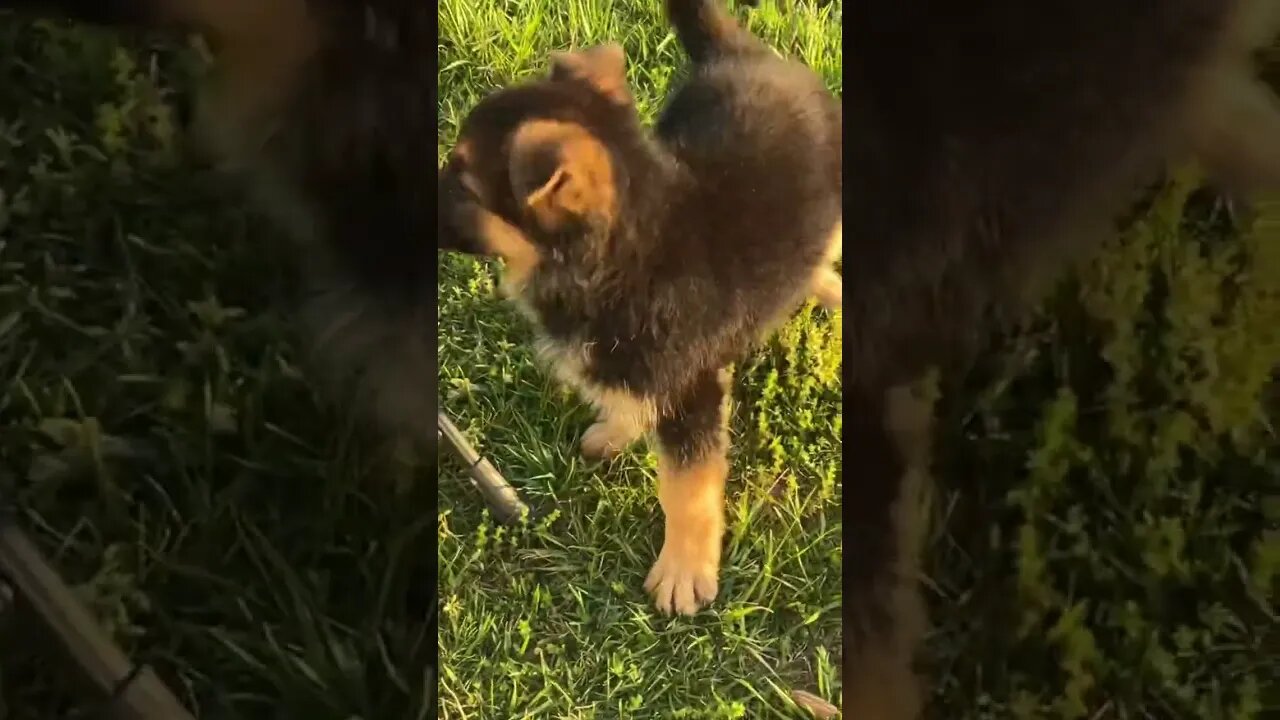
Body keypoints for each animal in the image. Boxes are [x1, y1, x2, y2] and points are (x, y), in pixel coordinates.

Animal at [437, 0, 839, 617]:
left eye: (461, 183)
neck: (624, 255)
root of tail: (740, 51)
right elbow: (627, 394)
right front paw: (618, 430)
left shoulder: (692, 392)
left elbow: (687, 489)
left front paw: (684, 571)